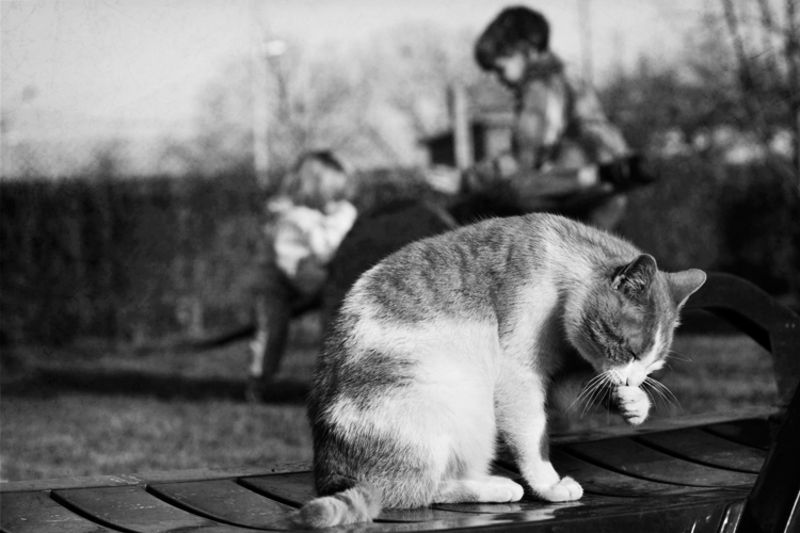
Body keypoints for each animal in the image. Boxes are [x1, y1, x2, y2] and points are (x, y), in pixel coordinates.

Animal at [293, 213, 706, 528]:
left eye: (653, 364)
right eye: (632, 351)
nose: (634, 379)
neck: (561, 269)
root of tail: (333, 475)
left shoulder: (561, 373)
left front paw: (634, 403)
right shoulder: (519, 374)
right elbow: (533, 435)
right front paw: (549, 485)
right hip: (460, 402)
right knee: (414, 493)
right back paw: (495, 487)